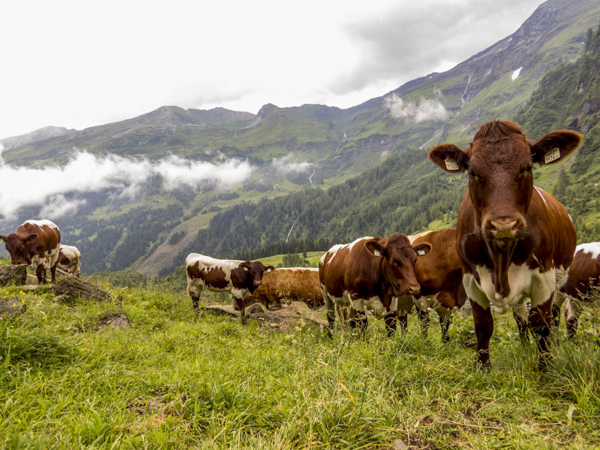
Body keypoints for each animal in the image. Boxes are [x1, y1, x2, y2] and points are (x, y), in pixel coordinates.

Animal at [428, 119, 584, 370]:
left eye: (528, 167)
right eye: (472, 171)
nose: (504, 225)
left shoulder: (544, 275)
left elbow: (541, 325)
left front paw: (546, 368)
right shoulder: (470, 279)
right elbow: (483, 327)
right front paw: (483, 368)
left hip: (562, 278)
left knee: (554, 315)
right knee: (520, 317)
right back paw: (524, 347)